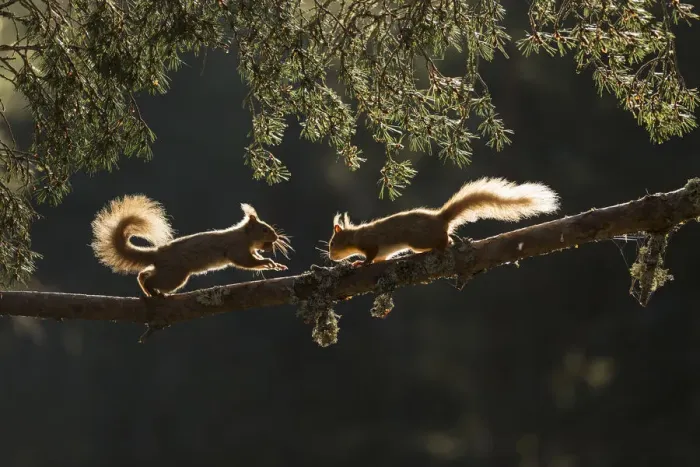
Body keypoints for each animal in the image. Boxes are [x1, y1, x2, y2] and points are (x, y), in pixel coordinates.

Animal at [91, 194, 292, 297]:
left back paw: (148, 290)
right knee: (151, 279)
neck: (244, 237)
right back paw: (154, 292)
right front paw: (267, 262)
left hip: (165, 270)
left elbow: (254, 258)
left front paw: (275, 264)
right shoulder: (237, 249)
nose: (276, 237)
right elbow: (246, 262)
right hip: (175, 275)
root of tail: (158, 253)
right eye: (264, 229)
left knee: (142, 274)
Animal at [327, 177, 559, 266]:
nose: (330, 256)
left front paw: (360, 263)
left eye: (332, 243)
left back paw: (445, 244)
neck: (355, 235)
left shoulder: (370, 243)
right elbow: (380, 258)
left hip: (418, 241)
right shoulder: (381, 253)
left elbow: (371, 255)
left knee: (444, 239)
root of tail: (441, 217)